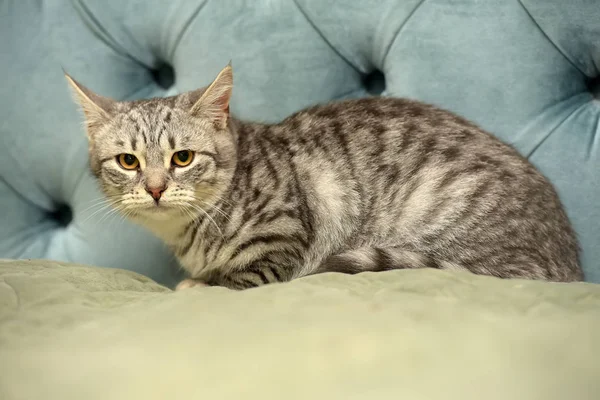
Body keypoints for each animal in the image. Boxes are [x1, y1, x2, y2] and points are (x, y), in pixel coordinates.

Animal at [65, 64, 580, 290]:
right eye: (128, 162)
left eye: (184, 157)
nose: (155, 188)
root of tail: (567, 263)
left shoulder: (282, 238)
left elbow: (238, 278)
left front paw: (200, 285)